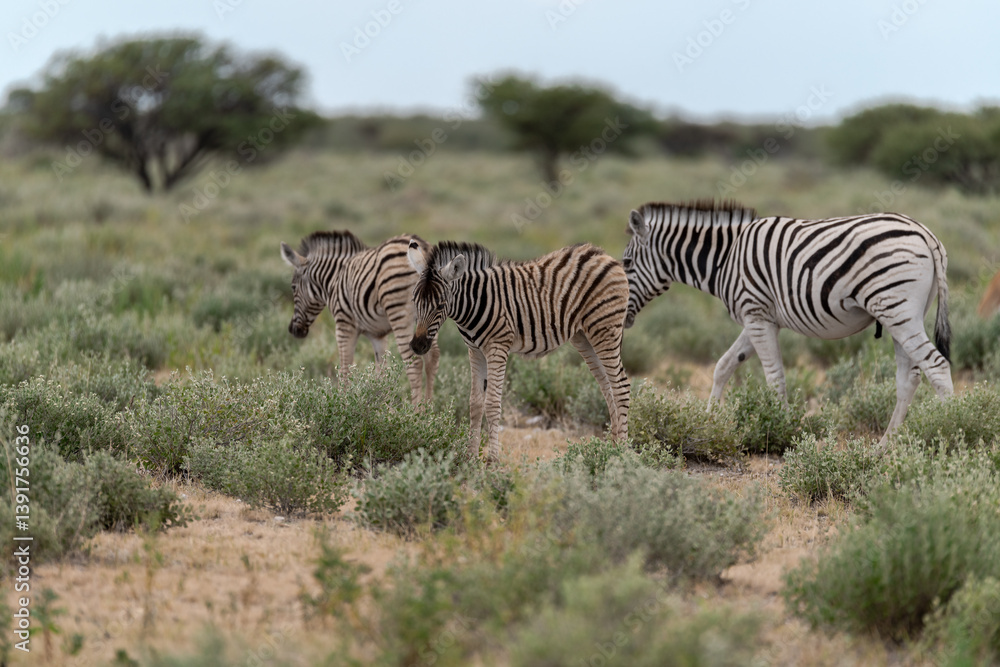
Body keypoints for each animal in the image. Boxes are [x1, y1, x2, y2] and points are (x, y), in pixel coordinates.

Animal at [280, 231, 440, 404]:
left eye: (293, 287)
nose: (293, 330)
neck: (334, 280)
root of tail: (422, 248)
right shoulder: (378, 336)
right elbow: (382, 373)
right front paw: (383, 406)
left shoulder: (343, 325)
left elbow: (345, 368)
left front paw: (342, 403)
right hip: (429, 318)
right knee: (432, 358)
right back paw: (429, 408)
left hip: (399, 313)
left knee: (415, 363)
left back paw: (416, 411)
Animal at [406, 240, 631, 461]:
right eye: (414, 301)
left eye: (440, 305)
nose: (417, 345)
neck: (475, 303)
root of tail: (604, 256)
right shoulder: (475, 351)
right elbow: (475, 404)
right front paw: (470, 457)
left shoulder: (497, 347)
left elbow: (492, 403)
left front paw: (492, 460)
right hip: (584, 337)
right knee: (608, 387)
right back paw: (610, 447)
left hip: (604, 330)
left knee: (621, 386)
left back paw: (620, 452)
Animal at [621, 200, 953, 445]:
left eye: (625, 263)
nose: (622, 317)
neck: (726, 258)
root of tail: (925, 233)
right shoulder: (759, 317)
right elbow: (723, 366)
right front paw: (709, 421)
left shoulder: (756, 315)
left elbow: (774, 378)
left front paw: (780, 431)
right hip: (902, 315)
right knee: (909, 377)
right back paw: (885, 445)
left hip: (897, 310)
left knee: (936, 366)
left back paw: (955, 427)